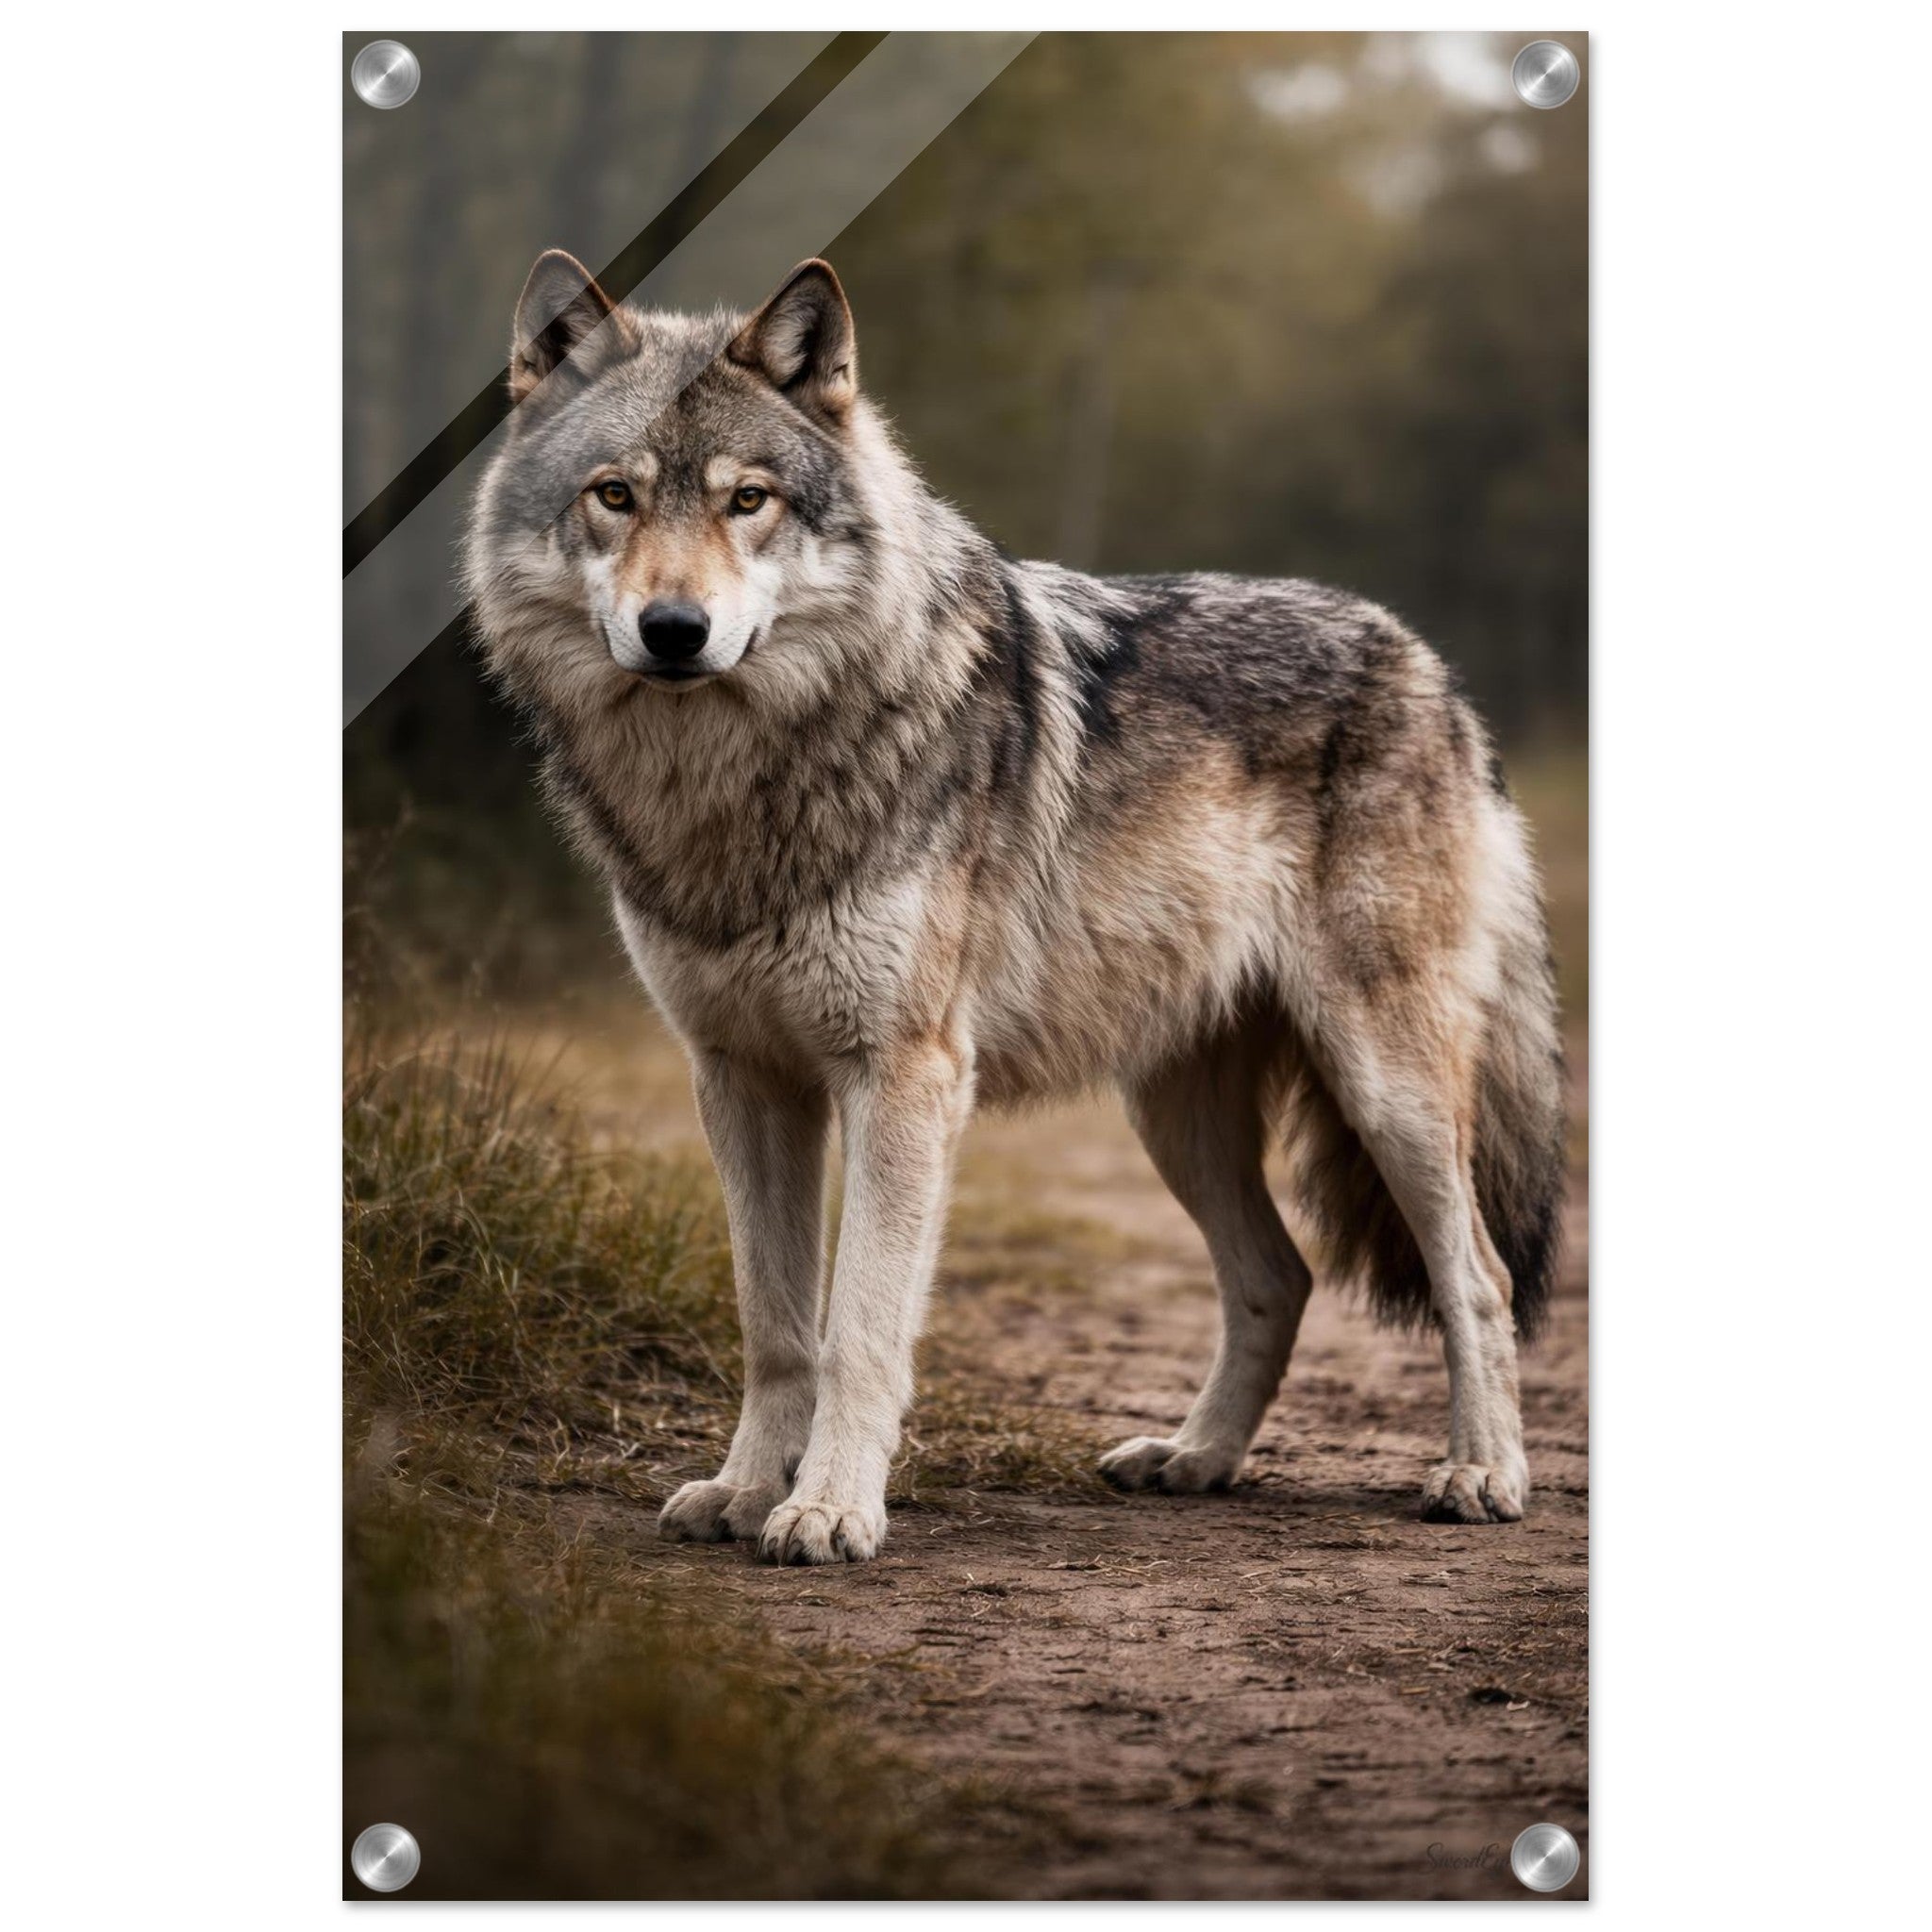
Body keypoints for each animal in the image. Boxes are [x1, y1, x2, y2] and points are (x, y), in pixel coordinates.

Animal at [464, 251, 1566, 1565]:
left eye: (748, 501)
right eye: (615, 496)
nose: (674, 631)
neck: (738, 782)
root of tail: (1427, 664)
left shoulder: (904, 1076)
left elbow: (858, 1327)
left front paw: (828, 1509)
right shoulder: (739, 1077)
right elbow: (774, 1325)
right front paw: (740, 1491)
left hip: (1383, 1086)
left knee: (1477, 1277)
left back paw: (1481, 1472)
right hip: (1174, 1115)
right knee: (1278, 1277)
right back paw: (1193, 1457)